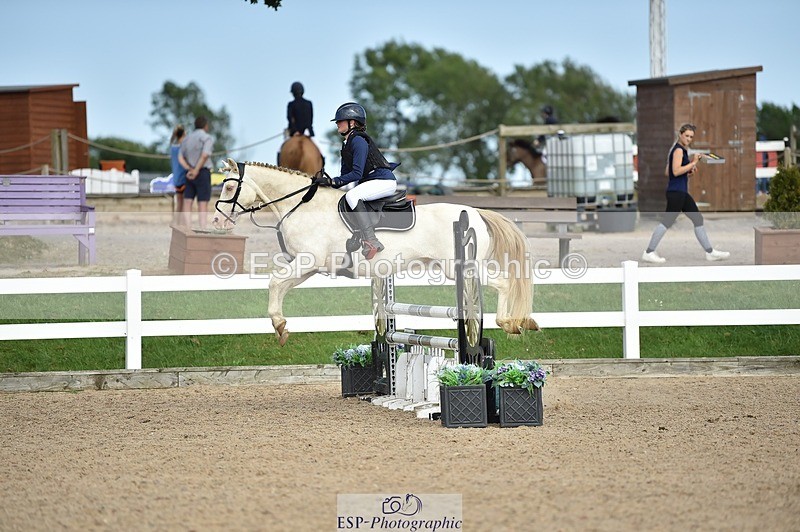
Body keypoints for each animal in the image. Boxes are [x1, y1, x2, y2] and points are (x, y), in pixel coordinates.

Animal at [212, 158, 539, 346]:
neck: (300, 205)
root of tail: (476, 212)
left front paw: (279, 325)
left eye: (228, 188)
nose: (217, 221)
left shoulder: (307, 261)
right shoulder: (309, 267)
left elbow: (274, 282)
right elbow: (279, 286)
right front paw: (280, 327)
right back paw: (520, 322)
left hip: (460, 267)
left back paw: (511, 323)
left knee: (503, 284)